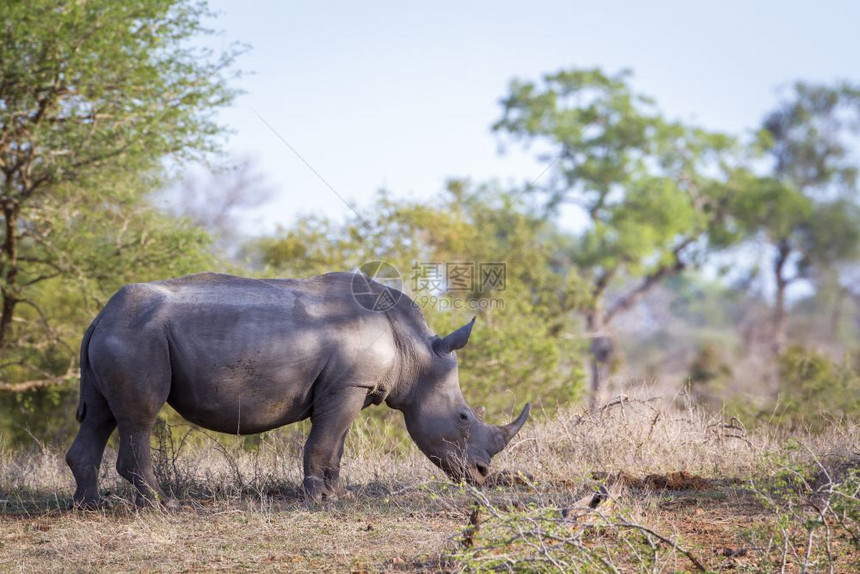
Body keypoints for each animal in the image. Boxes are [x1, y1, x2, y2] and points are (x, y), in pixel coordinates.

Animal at [67, 272, 528, 506]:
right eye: (464, 417)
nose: (481, 476)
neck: (414, 351)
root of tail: (99, 317)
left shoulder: (351, 387)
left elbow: (336, 443)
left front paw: (336, 495)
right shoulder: (348, 384)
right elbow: (323, 441)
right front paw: (317, 499)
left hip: (120, 333)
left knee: (101, 415)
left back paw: (91, 505)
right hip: (137, 336)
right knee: (139, 417)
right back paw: (163, 505)